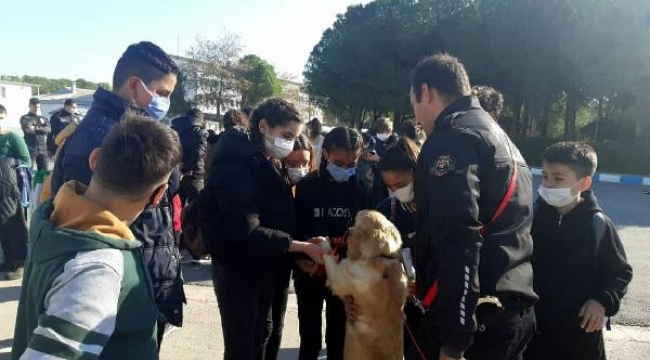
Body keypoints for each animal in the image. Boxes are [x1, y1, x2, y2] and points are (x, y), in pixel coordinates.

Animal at [320, 210, 404, 360]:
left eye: (355, 222)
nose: (348, 229)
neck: (381, 255)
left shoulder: (341, 274)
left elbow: (329, 258)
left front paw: (324, 242)